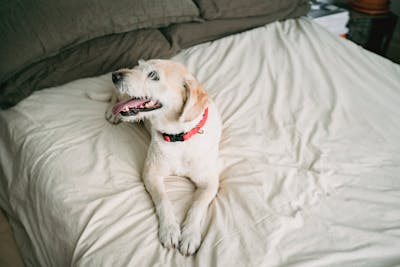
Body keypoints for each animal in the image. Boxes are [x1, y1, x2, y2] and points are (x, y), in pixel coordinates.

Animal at [106, 59, 222, 256]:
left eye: (153, 75)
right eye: (138, 68)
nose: (115, 75)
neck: (179, 136)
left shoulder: (210, 183)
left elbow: (197, 206)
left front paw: (190, 235)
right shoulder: (151, 174)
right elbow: (163, 200)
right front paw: (169, 230)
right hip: (121, 95)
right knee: (114, 96)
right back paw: (111, 113)